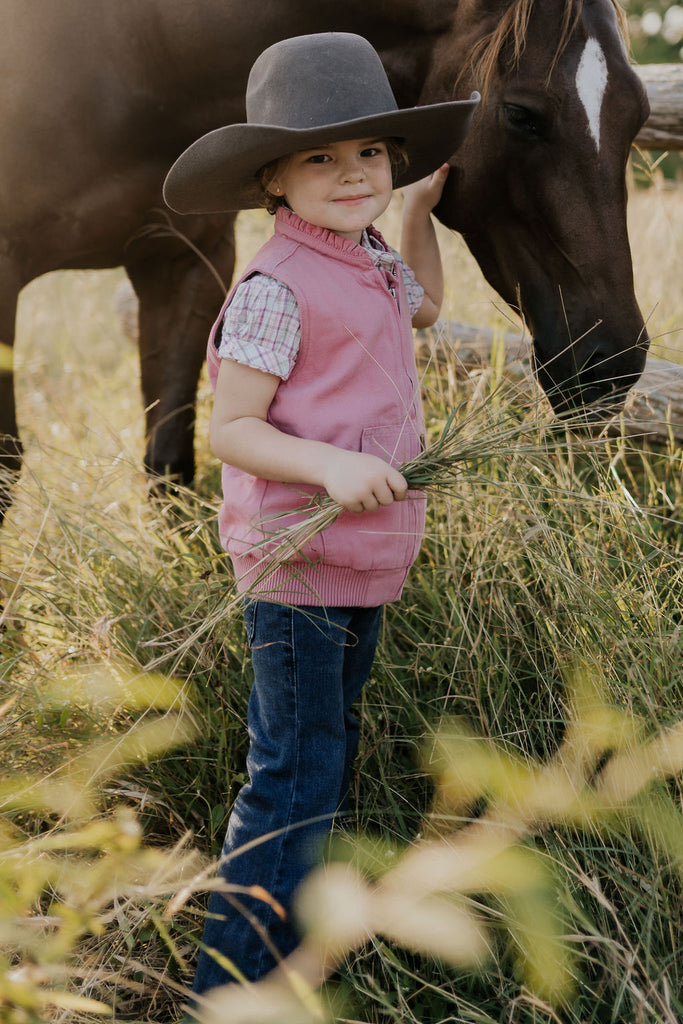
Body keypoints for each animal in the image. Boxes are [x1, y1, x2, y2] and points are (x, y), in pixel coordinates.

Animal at [0, 0, 651, 516]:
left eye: (639, 112)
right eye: (522, 114)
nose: (615, 361)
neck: (139, 57)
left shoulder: (186, 263)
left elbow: (169, 461)